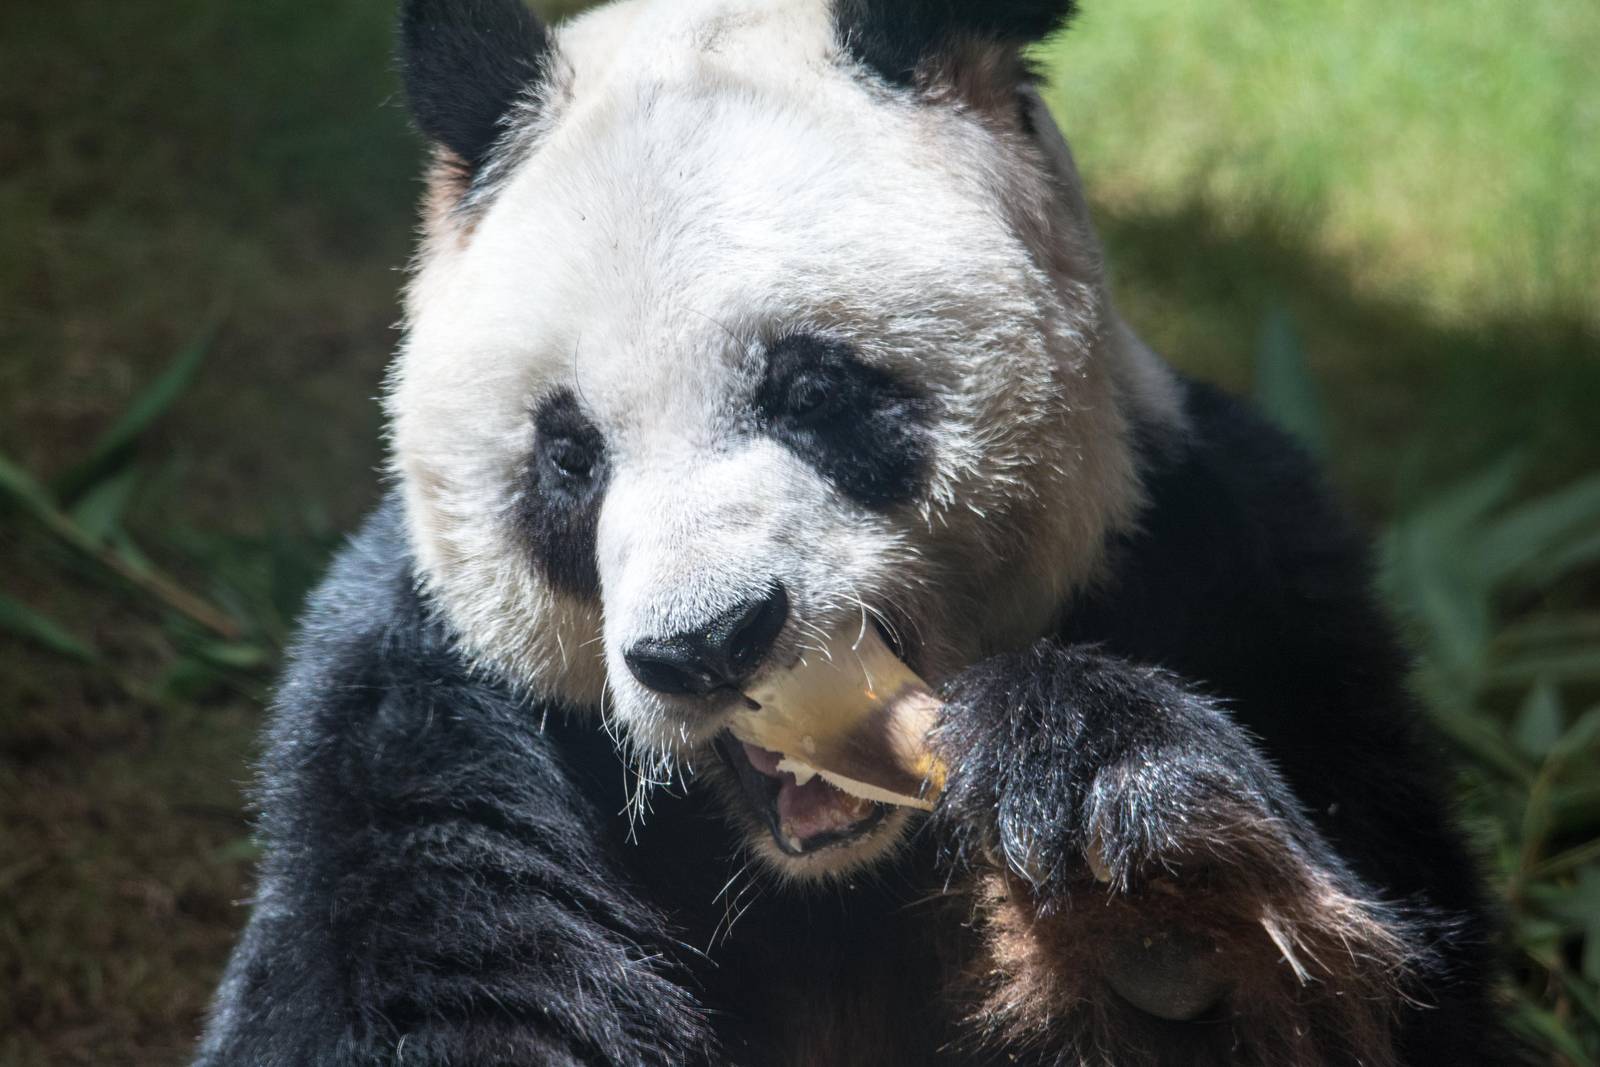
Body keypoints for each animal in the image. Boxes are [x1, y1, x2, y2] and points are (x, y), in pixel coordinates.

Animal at [195, 0, 1511, 1064]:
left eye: (813, 389)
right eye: (569, 456)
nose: (711, 642)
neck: (834, 875)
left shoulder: (1232, 574)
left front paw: (1148, 892)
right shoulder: (425, 726)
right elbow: (421, 1001)